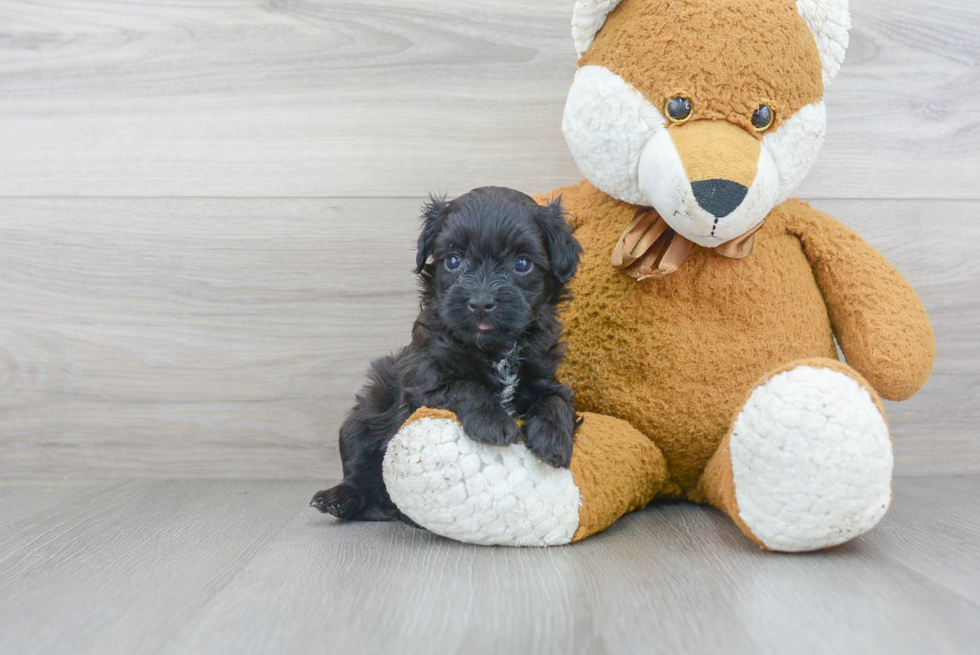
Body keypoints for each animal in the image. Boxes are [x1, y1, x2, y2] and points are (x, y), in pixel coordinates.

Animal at [310, 186, 580, 524]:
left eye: (521, 264)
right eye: (453, 260)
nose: (481, 302)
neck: (495, 348)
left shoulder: (544, 375)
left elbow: (556, 399)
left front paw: (553, 439)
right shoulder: (423, 379)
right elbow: (466, 386)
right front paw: (493, 423)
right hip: (364, 416)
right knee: (358, 469)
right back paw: (340, 499)